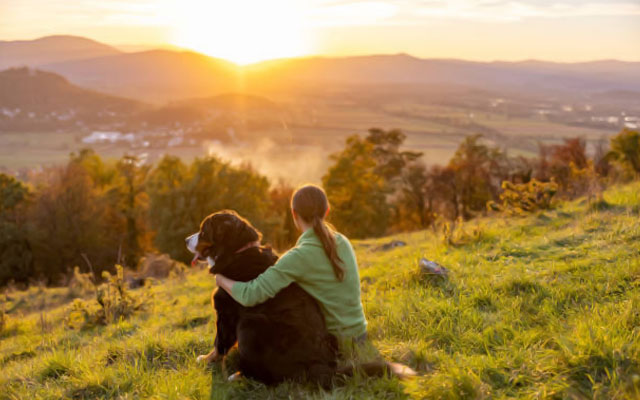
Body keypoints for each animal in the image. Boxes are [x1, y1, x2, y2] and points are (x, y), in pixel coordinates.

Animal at [185, 211, 418, 386]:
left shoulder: (226, 313)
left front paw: (206, 360)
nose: (186, 239)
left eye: (203, 230)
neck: (237, 252)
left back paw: (238, 376)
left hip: (250, 324)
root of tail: (322, 366)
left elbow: (219, 344)